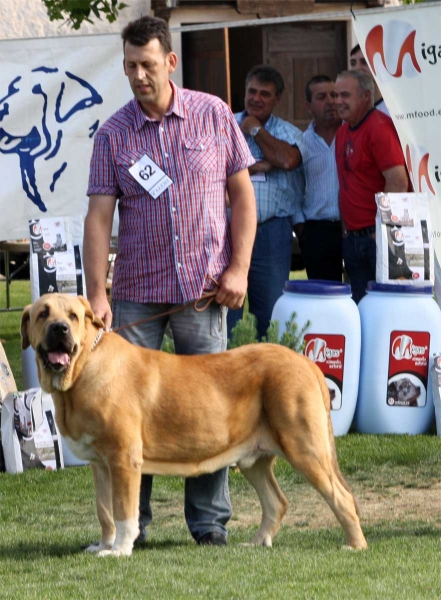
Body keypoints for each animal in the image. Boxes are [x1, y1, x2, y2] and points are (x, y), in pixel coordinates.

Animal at [20, 292, 366, 556]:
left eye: (74, 316)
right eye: (43, 314)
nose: (60, 329)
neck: (82, 371)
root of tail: (307, 363)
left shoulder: (123, 460)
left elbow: (123, 512)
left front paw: (118, 550)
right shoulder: (100, 464)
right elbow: (104, 511)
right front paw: (103, 545)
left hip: (305, 448)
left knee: (342, 497)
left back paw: (354, 545)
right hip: (254, 459)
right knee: (276, 502)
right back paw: (256, 543)